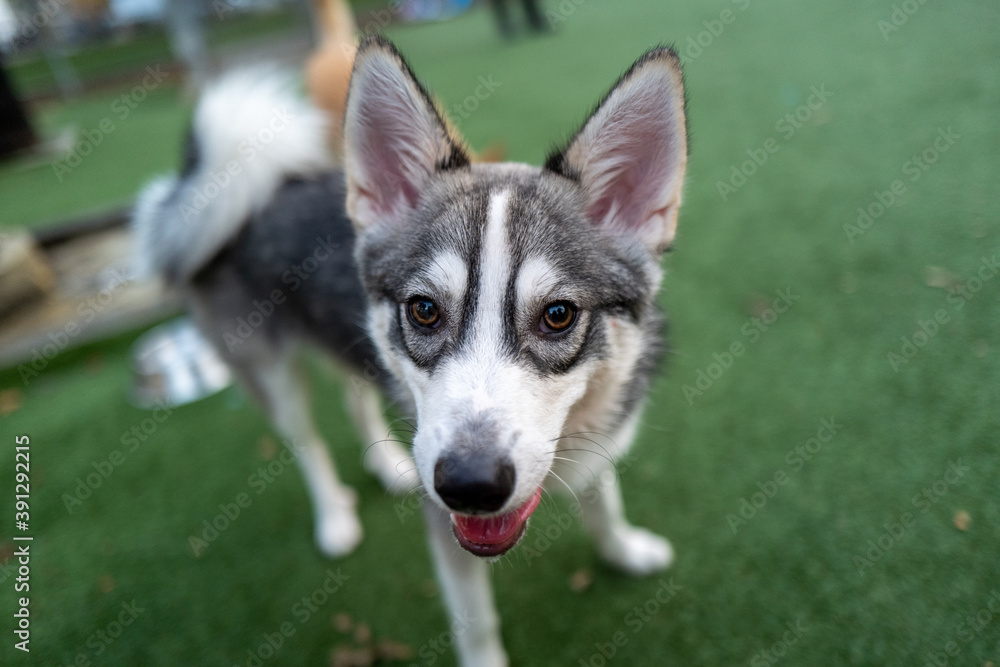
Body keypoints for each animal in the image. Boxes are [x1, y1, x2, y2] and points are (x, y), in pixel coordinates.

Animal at [135, 35, 688, 667]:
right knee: (304, 440)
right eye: (425, 309)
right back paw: (334, 518)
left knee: (354, 396)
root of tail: (234, 183)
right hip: (267, 368)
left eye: (558, 315)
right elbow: (476, 622)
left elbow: (604, 501)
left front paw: (625, 549)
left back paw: (388, 466)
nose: (469, 485)